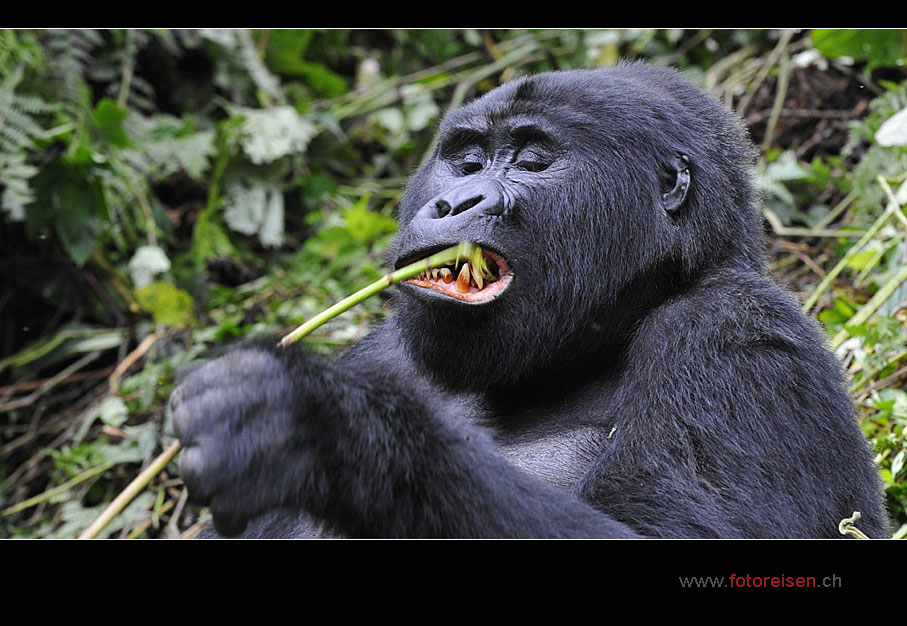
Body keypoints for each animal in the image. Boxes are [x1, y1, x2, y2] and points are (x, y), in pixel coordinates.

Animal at [168, 64, 888, 540]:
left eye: (532, 160)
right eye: (465, 162)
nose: (454, 201)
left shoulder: (731, 333)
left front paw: (325, 432)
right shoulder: (381, 353)